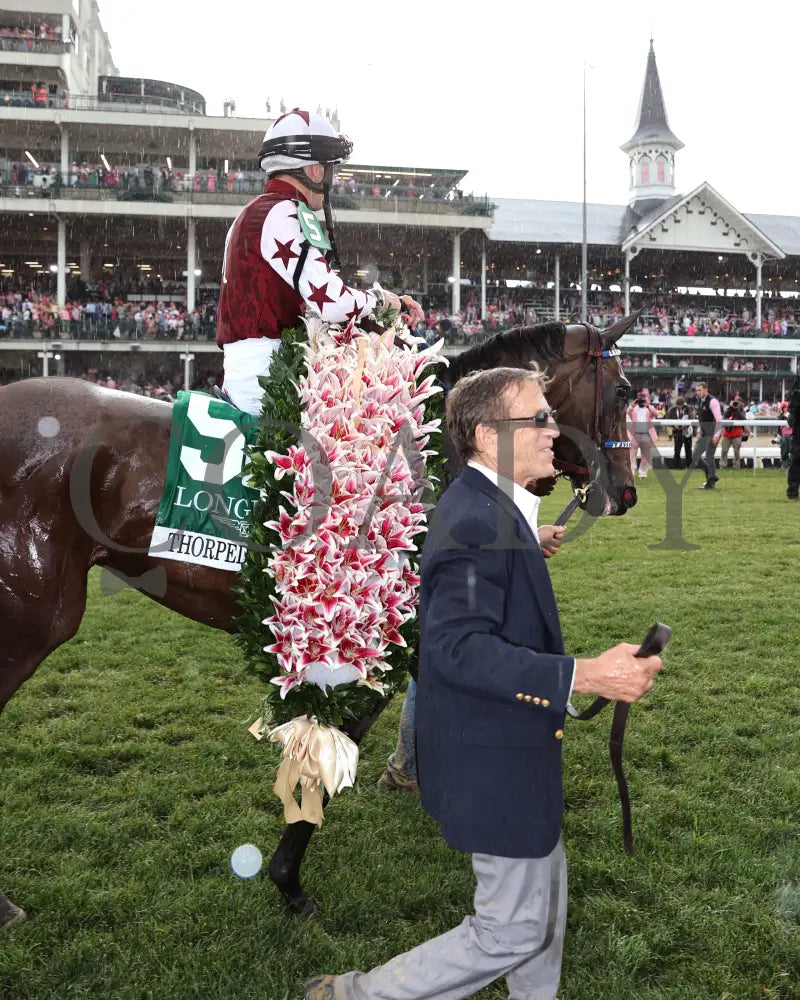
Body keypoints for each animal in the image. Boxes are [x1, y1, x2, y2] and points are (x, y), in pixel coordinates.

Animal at [0, 316, 636, 924]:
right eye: (625, 390)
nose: (626, 493)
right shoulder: (381, 641)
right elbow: (340, 735)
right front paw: (288, 878)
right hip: (32, 617)